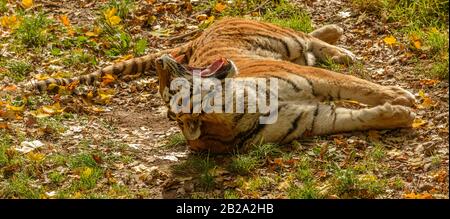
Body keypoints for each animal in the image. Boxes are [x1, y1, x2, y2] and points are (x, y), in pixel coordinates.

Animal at [19, 18, 416, 152]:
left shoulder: (312, 80)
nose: (161, 63)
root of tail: (195, 37)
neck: (238, 108)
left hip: (282, 40)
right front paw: (401, 112)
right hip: (289, 48)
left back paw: (338, 42)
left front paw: (401, 95)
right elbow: (357, 117)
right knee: (309, 44)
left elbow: (359, 87)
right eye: (170, 91)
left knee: (309, 38)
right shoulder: (313, 119)